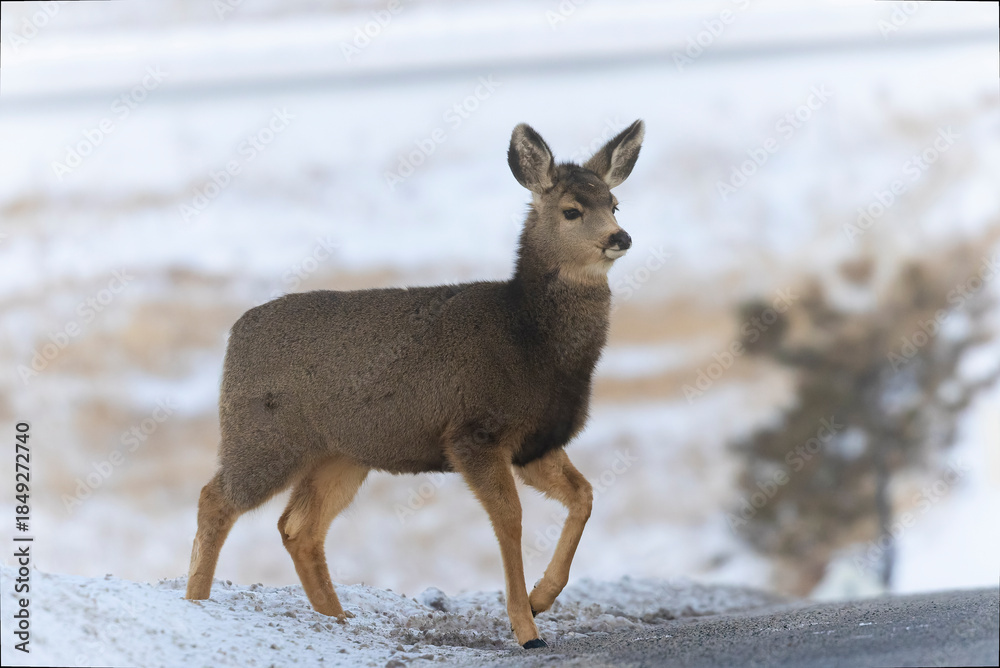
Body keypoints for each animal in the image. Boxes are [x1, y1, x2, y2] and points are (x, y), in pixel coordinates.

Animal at [185, 119, 645, 649]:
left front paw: (540, 599)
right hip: (264, 436)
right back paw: (196, 604)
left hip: (342, 453)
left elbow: (584, 497)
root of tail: (234, 334)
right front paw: (526, 628)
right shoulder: (474, 432)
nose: (621, 237)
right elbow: (510, 520)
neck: (529, 339)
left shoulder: (536, 442)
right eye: (572, 210)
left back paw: (338, 619)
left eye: (614, 203)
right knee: (216, 499)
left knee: (298, 526)